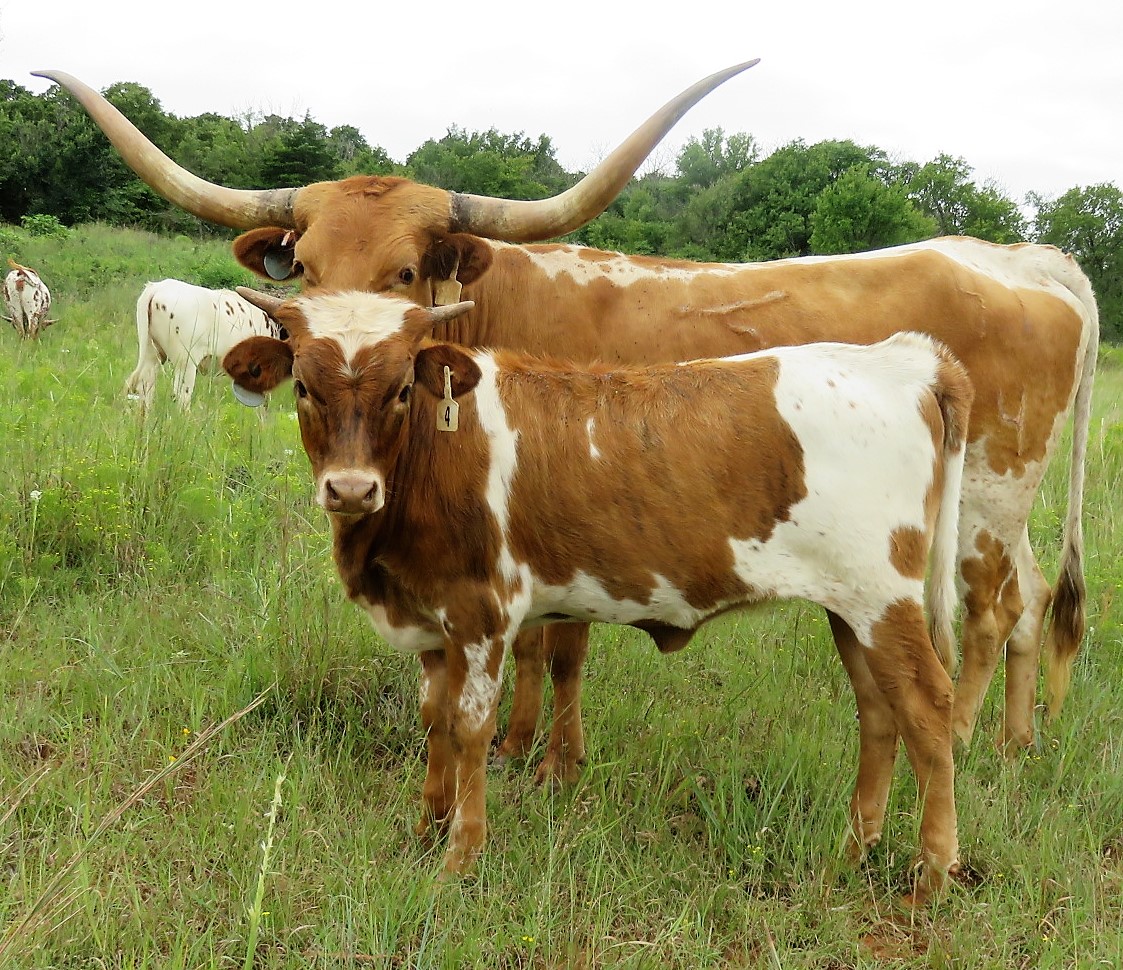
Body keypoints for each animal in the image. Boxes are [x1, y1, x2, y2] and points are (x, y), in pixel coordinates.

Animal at [220, 288, 973, 905]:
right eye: (304, 388)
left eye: (402, 388)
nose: (350, 490)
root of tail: (902, 357)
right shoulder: (431, 617)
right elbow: (433, 719)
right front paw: (426, 826)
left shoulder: (483, 612)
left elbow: (470, 727)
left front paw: (460, 857)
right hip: (851, 606)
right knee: (878, 711)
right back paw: (852, 850)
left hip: (884, 600)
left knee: (927, 708)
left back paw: (931, 875)